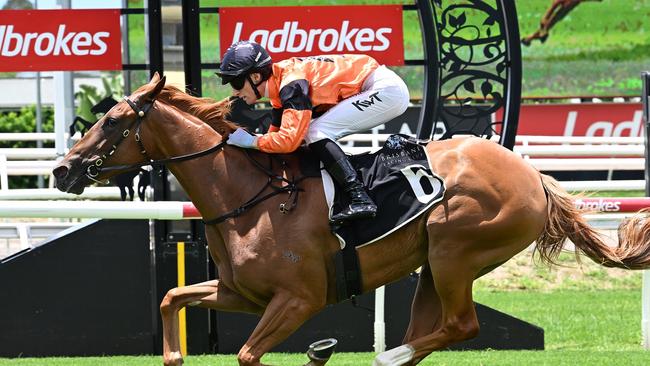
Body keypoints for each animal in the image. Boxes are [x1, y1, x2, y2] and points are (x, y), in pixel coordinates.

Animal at [53, 73, 648, 364]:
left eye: (112, 121)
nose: (62, 169)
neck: (247, 196)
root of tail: (535, 178)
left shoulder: (300, 298)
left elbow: (246, 354)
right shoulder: (242, 294)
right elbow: (171, 297)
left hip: (456, 250)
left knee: (462, 325)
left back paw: (382, 359)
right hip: (432, 265)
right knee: (434, 327)